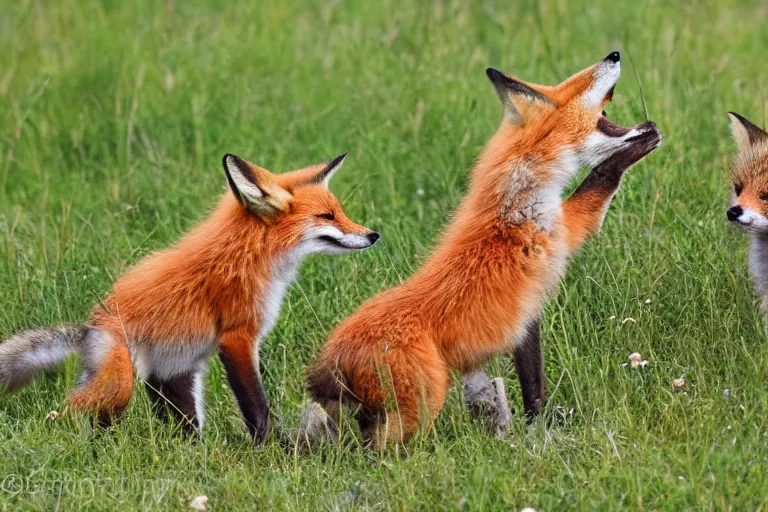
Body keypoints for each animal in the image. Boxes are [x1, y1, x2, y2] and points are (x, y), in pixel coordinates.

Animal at [0, 153, 378, 444]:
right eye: (327, 216)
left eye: (340, 212)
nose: (374, 234)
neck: (253, 256)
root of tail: (93, 325)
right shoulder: (238, 337)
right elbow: (257, 407)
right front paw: (269, 448)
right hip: (119, 387)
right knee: (66, 413)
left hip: (174, 376)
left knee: (182, 426)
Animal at [304, 50, 660, 446]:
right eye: (569, 89)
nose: (614, 53)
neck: (516, 197)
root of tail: (333, 355)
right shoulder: (567, 229)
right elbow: (601, 177)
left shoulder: (526, 317)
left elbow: (533, 385)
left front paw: (536, 426)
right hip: (420, 409)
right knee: (376, 449)